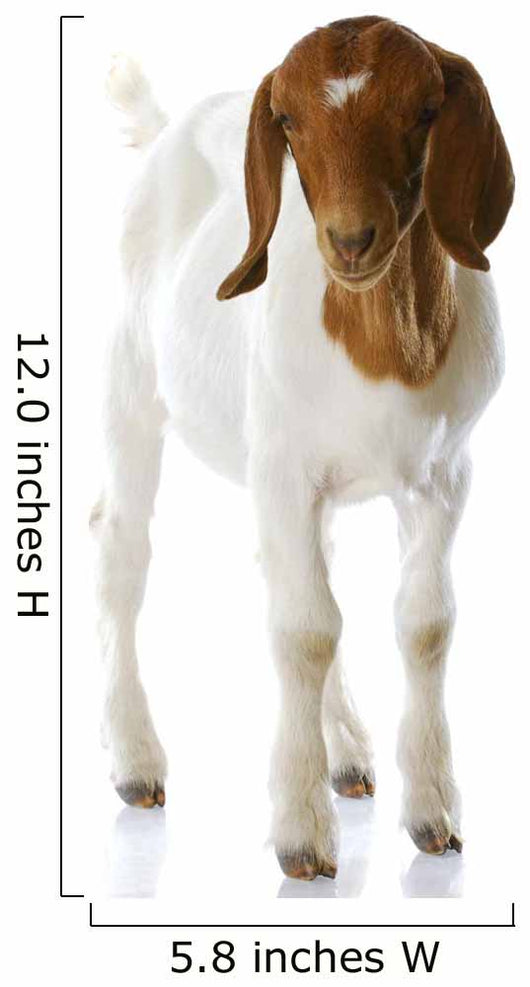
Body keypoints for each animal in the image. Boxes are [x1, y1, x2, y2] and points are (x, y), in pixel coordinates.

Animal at [93, 17, 514, 881]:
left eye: (426, 109)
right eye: (288, 120)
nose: (351, 242)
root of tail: (167, 126)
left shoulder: (441, 474)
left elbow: (423, 623)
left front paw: (433, 815)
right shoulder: (284, 471)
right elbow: (305, 630)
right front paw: (301, 832)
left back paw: (347, 751)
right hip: (131, 389)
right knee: (123, 556)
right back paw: (138, 762)